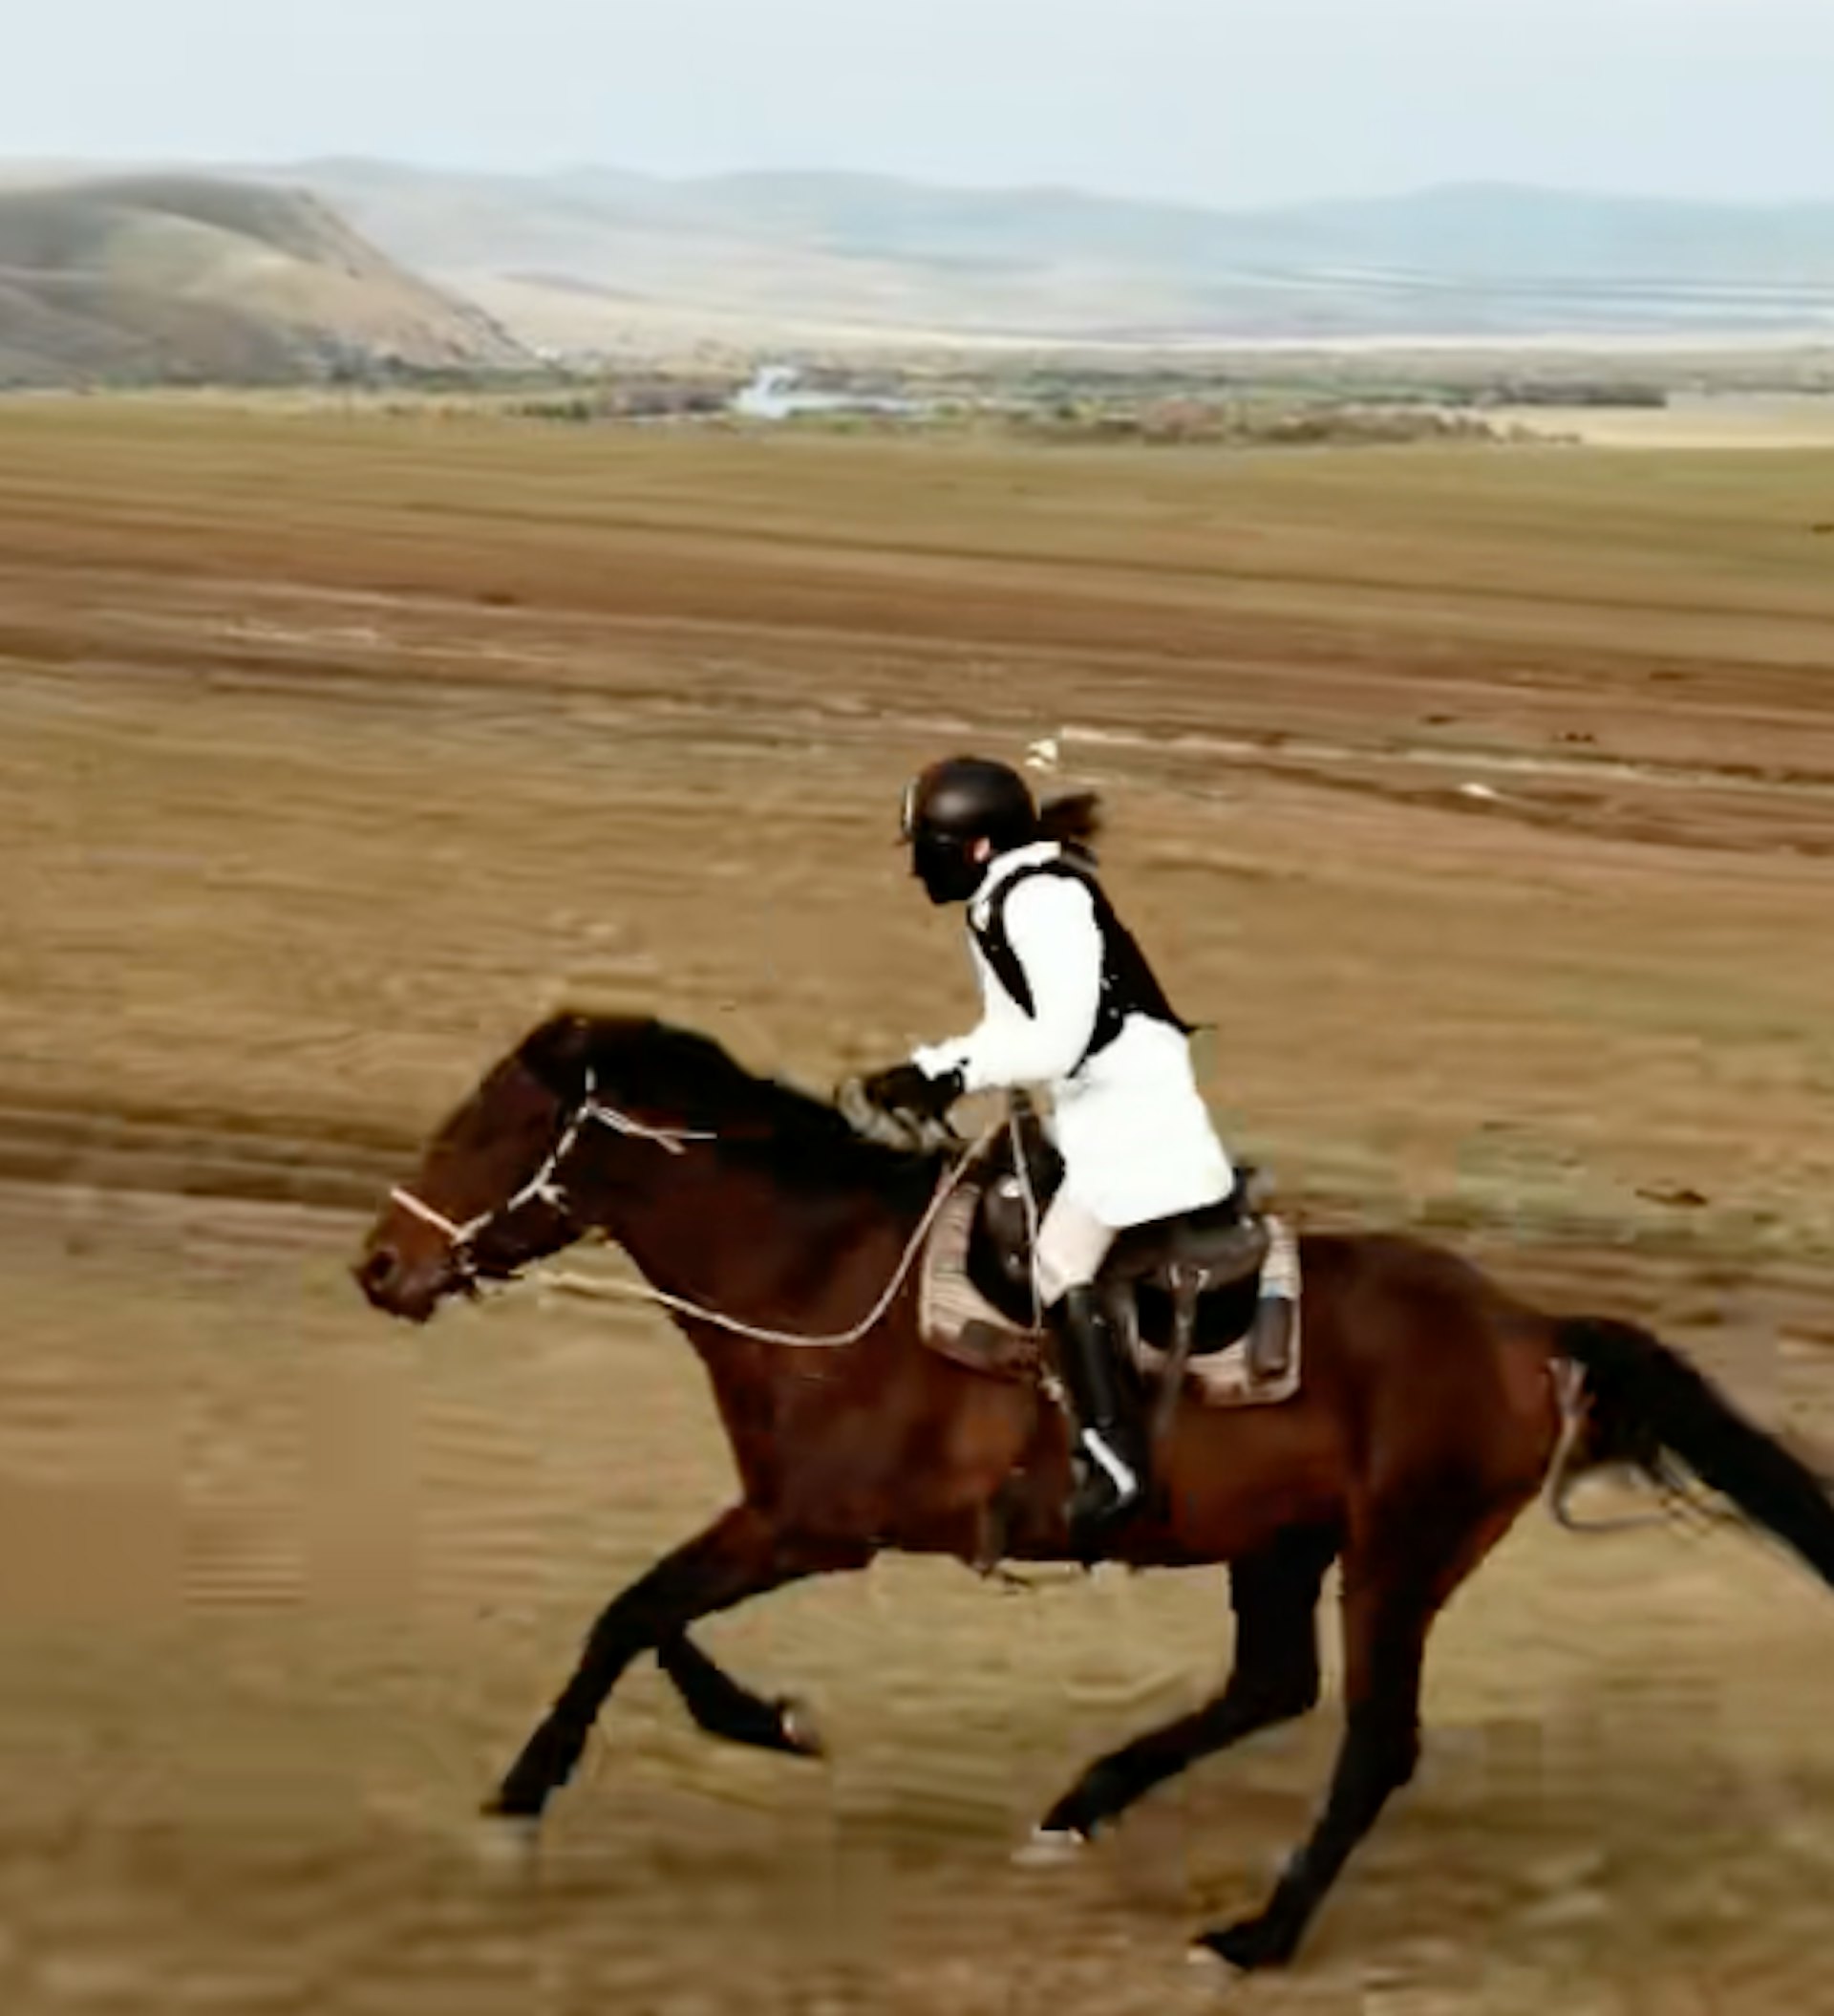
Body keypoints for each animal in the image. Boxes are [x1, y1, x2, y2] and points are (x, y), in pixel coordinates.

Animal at [352, 1009, 1834, 1973]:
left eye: (496, 1126)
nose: (379, 1266)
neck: (817, 1272)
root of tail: (1527, 1328)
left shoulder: (813, 1527)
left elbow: (630, 1611)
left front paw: (531, 1794)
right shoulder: (785, 1520)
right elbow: (651, 1617)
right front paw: (764, 1718)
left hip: (1399, 1554)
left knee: (1371, 1741)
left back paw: (1258, 1935)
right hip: (1284, 1545)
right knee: (1271, 1687)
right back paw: (1082, 1803)